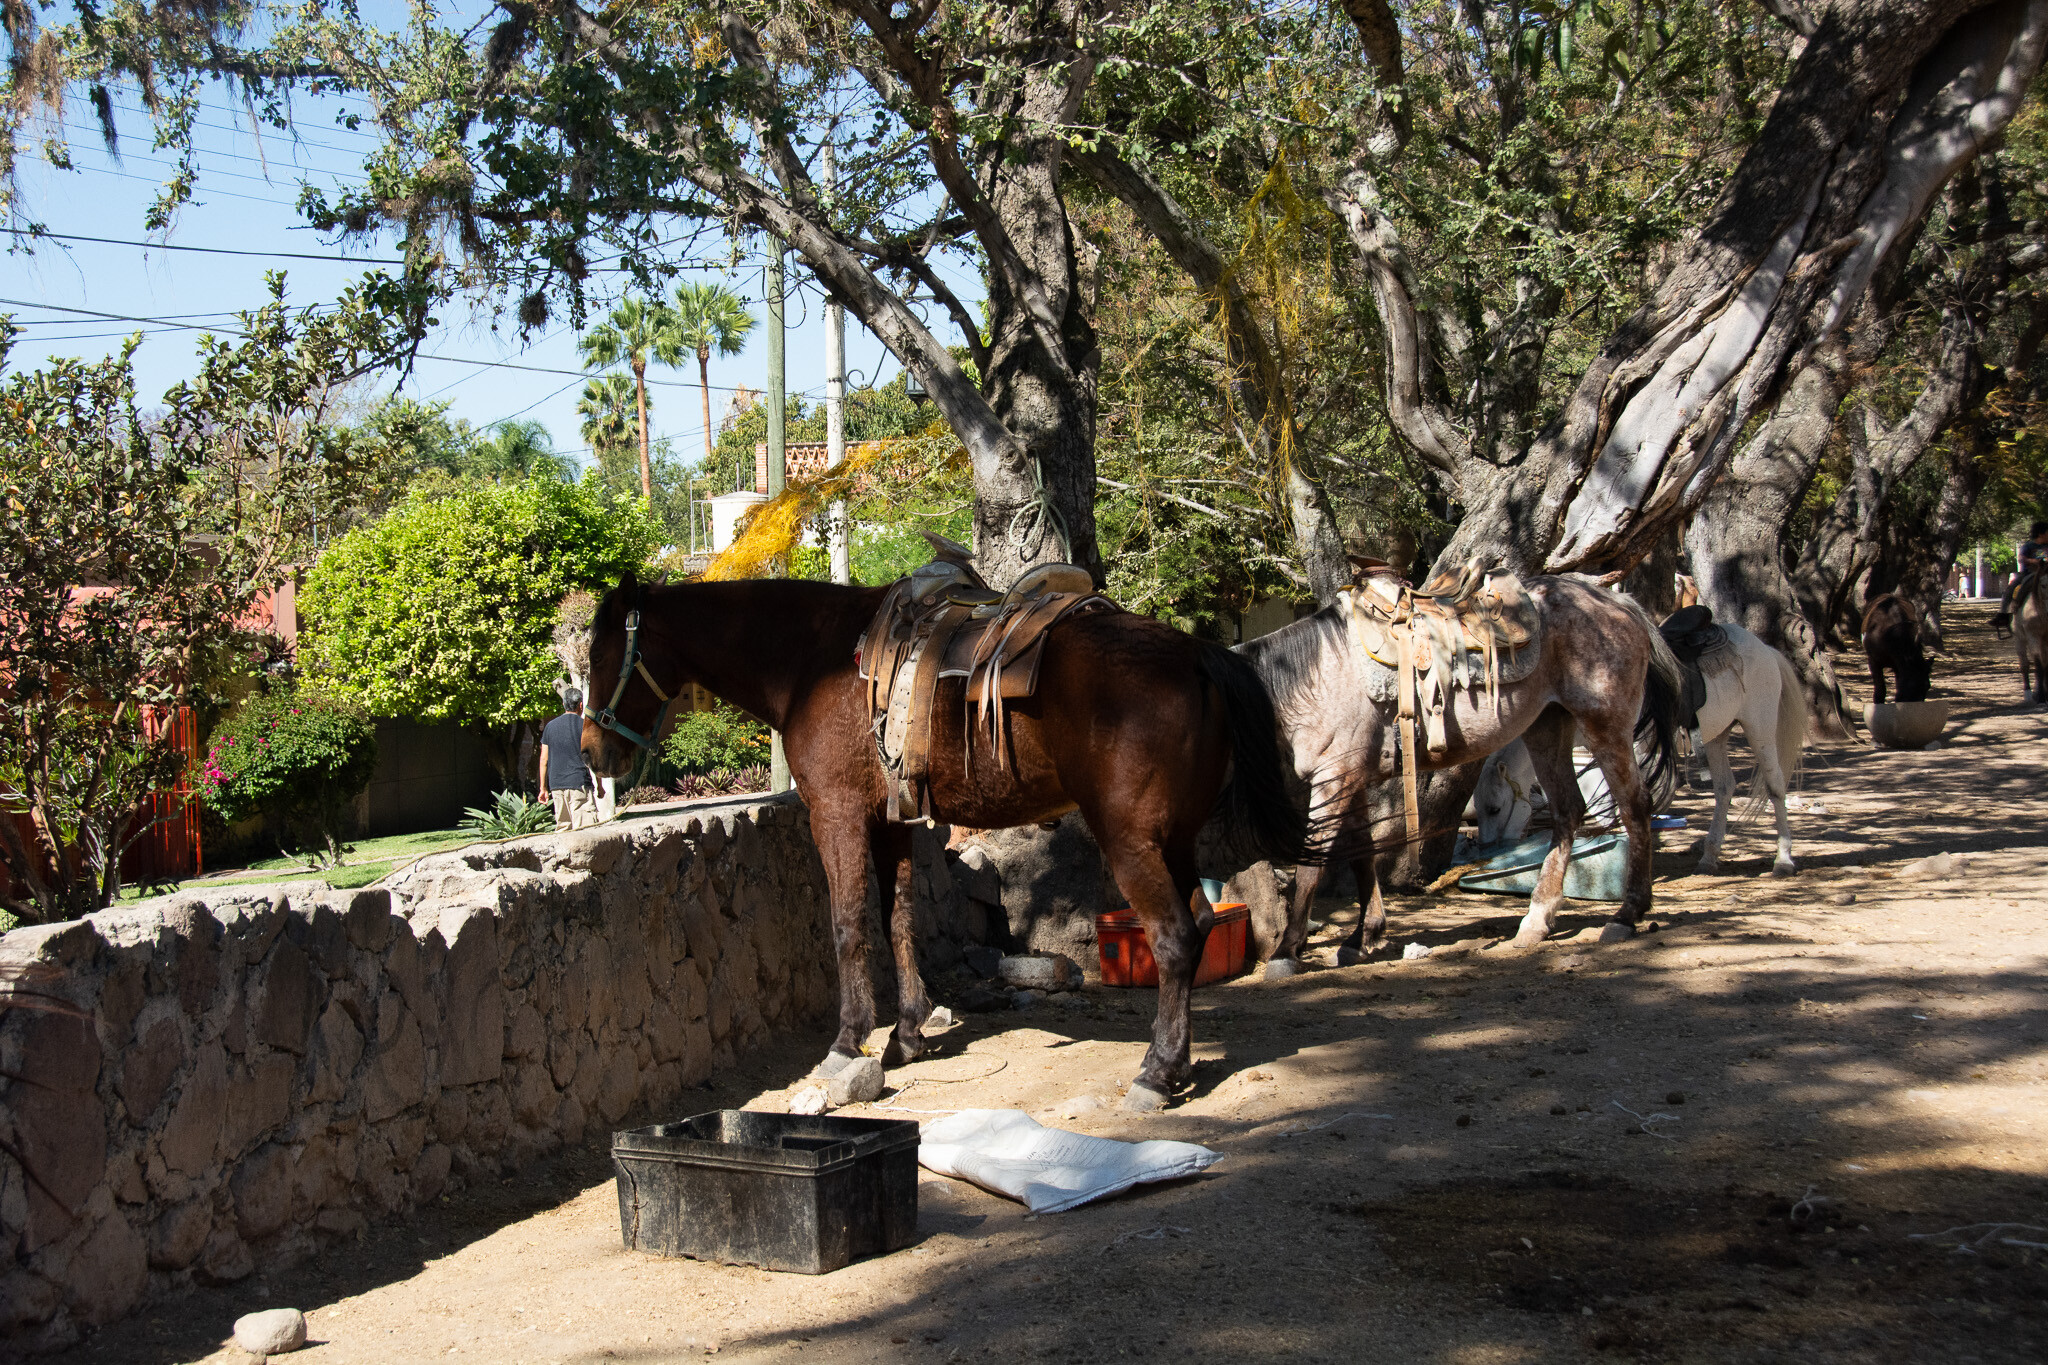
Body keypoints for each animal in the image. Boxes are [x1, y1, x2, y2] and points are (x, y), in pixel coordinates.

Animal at [578, 572, 1304, 1112]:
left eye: (600, 655)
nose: (588, 750)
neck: (814, 658)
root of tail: (1194, 653)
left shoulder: (837, 814)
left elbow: (848, 924)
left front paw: (848, 1042)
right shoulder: (893, 821)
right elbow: (897, 919)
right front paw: (906, 1031)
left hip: (1132, 843)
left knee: (1175, 939)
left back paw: (1155, 1072)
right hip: (1173, 843)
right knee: (1202, 925)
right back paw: (1178, 1063)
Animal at [1238, 574, 1681, 964]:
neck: (1313, 681)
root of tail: (1619, 602)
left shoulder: (1334, 779)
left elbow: (1310, 870)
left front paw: (1287, 951)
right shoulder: (1352, 780)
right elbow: (1362, 857)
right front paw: (1363, 936)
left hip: (1605, 726)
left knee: (1635, 806)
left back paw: (1627, 914)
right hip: (1548, 726)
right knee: (1568, 811)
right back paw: (1537, 920)